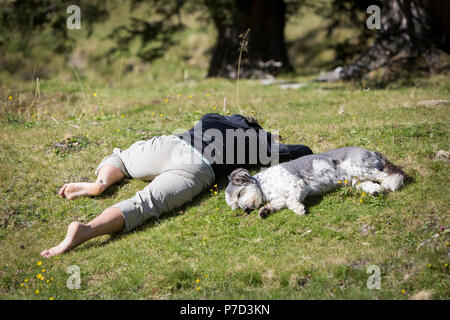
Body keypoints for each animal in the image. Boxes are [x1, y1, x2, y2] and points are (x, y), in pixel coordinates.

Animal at [225, 147, 408, 218]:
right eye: (235, 207)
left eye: (239, 194)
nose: (246, 209)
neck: (265, 187)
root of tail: (372, 152)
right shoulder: (282, 197)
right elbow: (279, 203)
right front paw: (265, 210)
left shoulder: (297, 185)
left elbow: (291, 201)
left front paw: (299, 210)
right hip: (355, 180)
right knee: (370, 183)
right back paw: (375, 191)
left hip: (358, 167)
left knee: (383, 176)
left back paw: (387, 185)